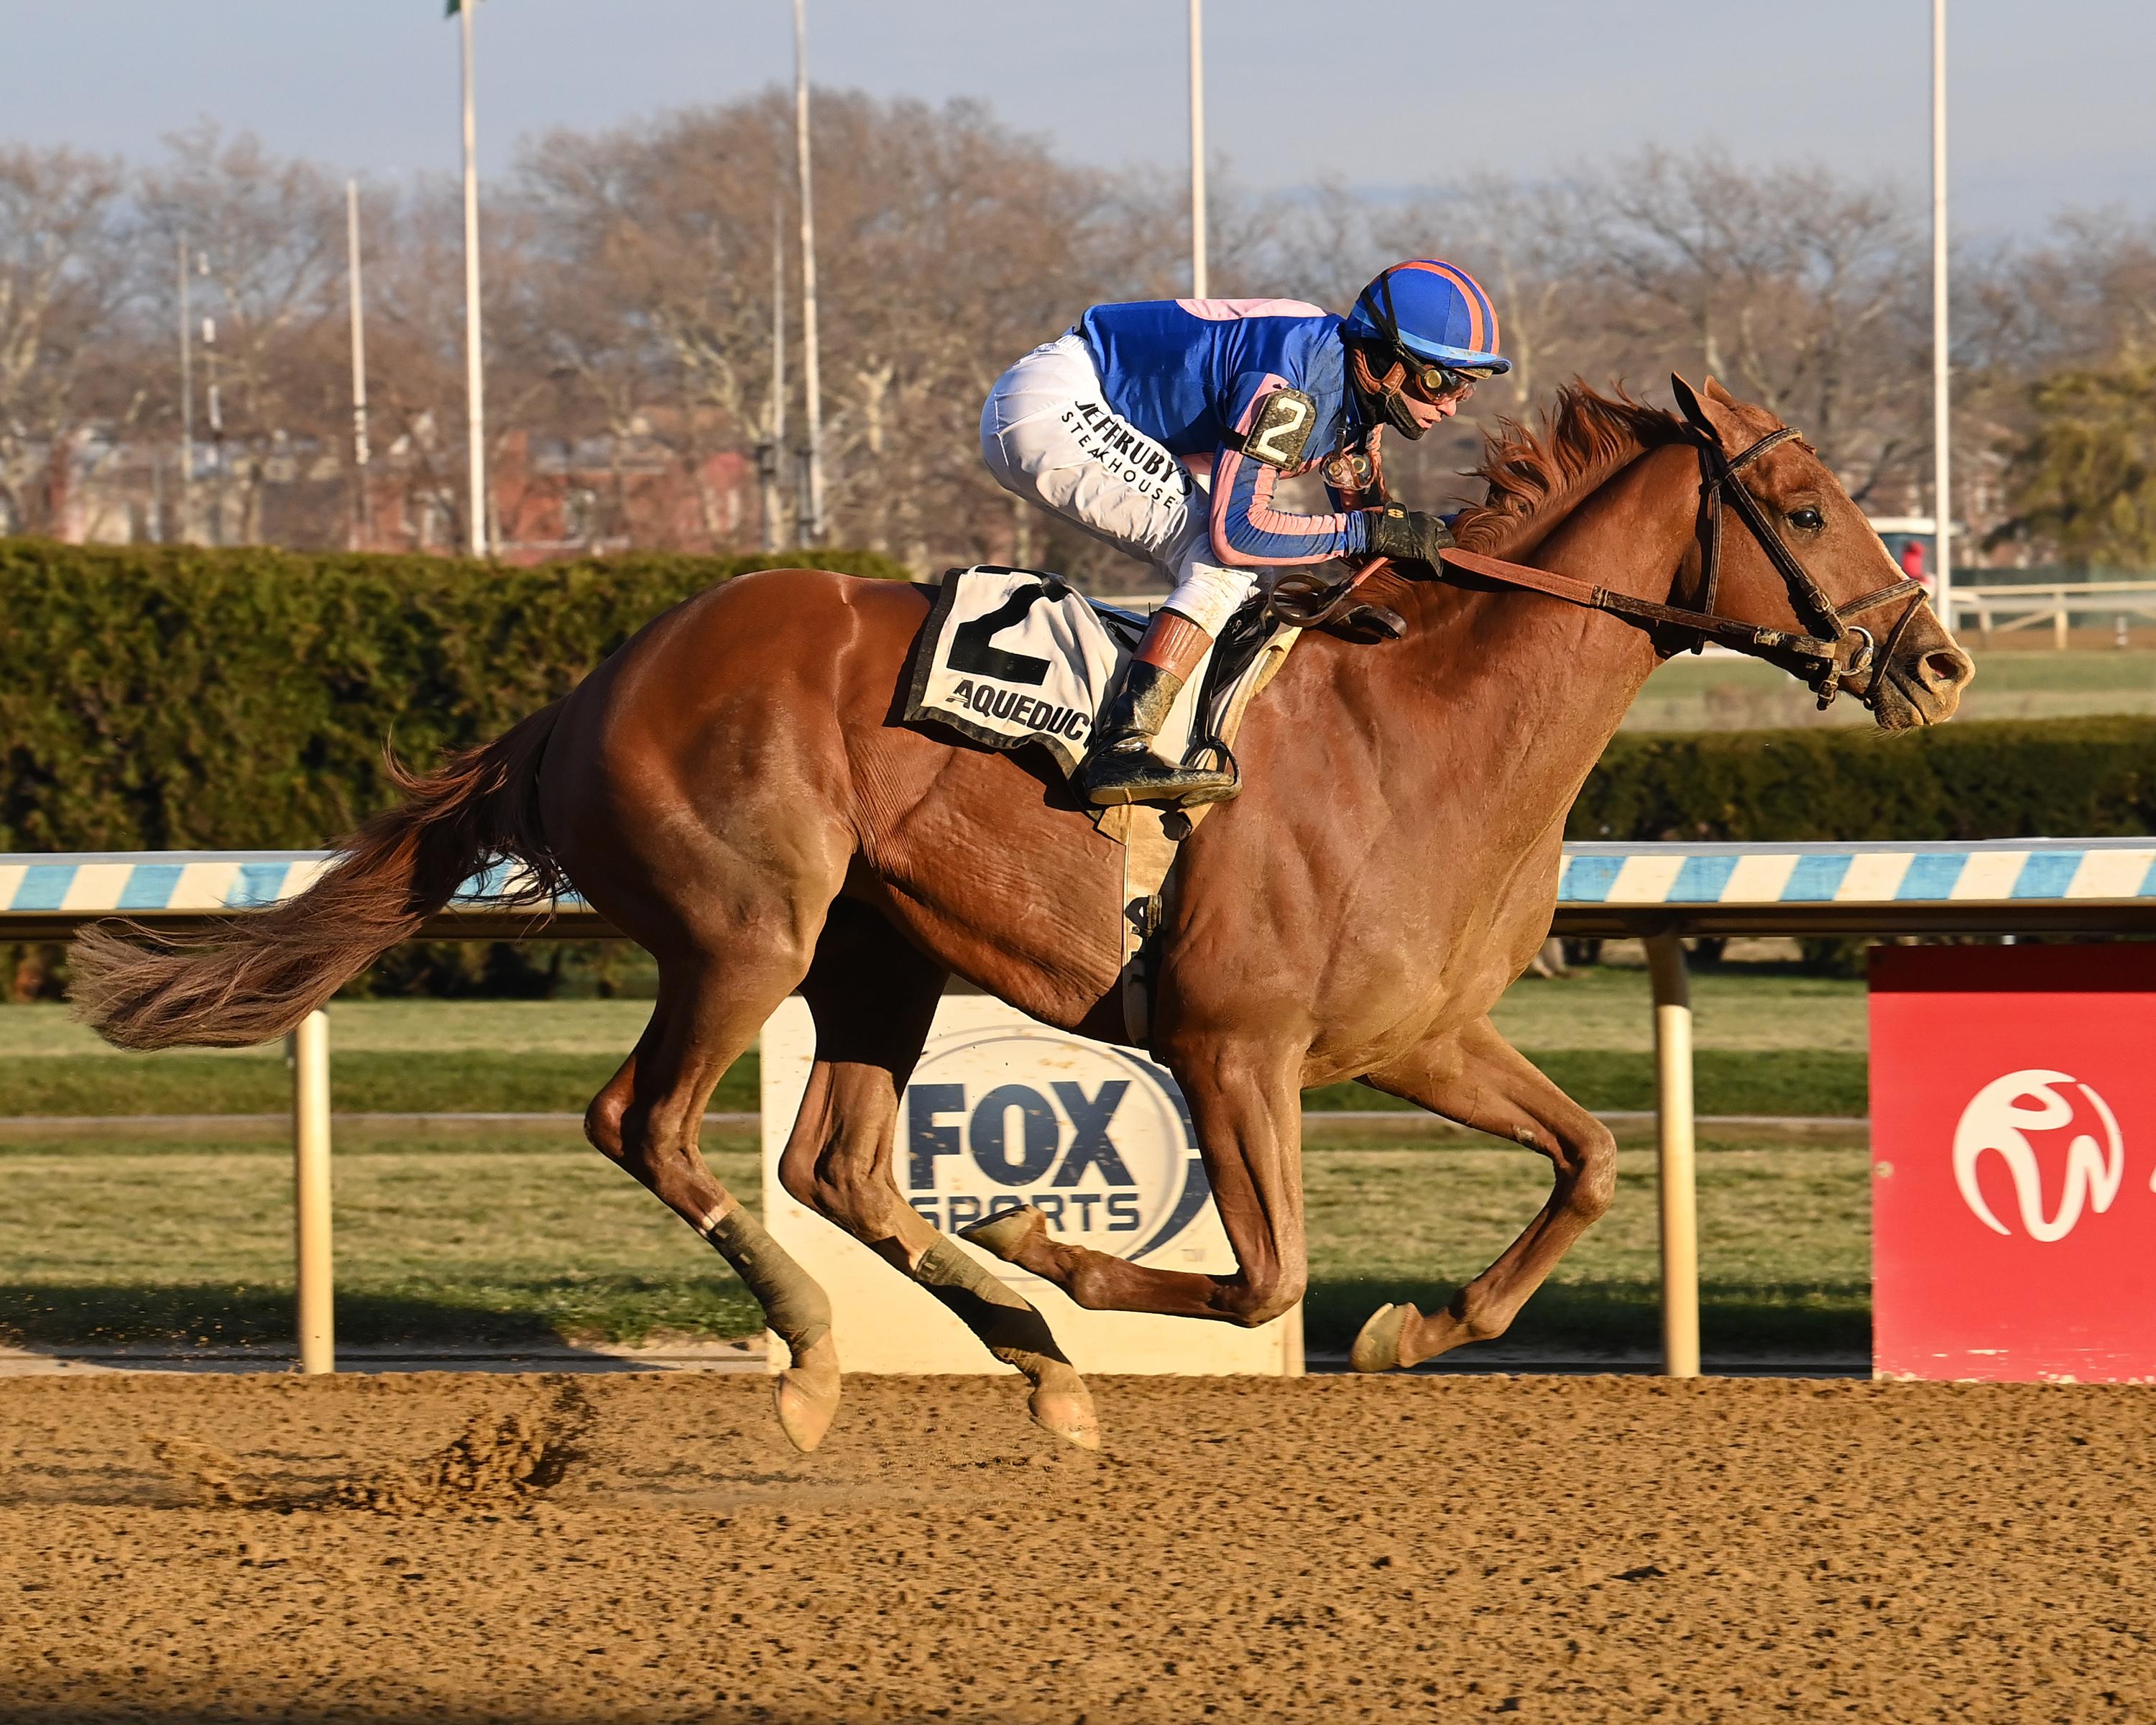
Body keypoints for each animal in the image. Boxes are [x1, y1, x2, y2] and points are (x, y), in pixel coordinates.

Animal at [70, 376, 1973, 1455]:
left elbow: (1585, 1161)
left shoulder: (1417, 1032)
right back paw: (830, 1350)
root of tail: (597, 677)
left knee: (835, 1161)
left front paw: (1414, 1326)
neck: (1422, 722)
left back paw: (1030, 1362)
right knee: (650, 1124)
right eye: (1803, 507)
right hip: (746, 931)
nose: (1940, 659)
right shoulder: (1232, 1039)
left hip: (875, 954)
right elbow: (1262, 1269)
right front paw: (1059, 1242)